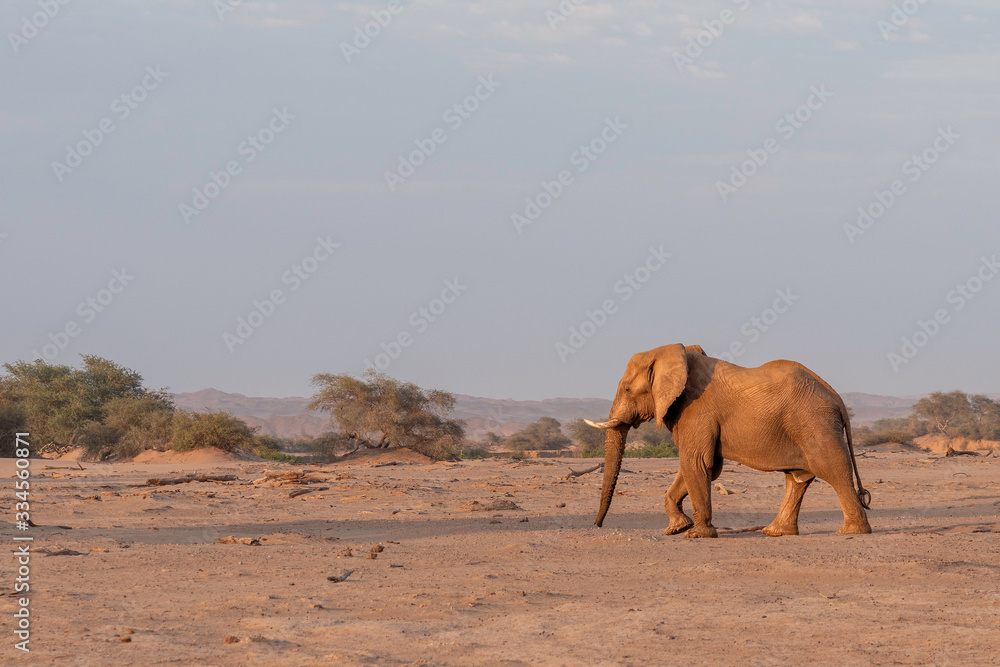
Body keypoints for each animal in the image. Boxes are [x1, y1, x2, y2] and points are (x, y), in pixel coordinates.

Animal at [585, 344, 871, 538]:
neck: (674, 354)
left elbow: (697, 463)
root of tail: (837, 398)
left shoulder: (697, 410)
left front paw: (696, 534)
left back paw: (852, 531)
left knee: (832, 470)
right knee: (798, 477)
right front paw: (677, 528)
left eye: (627, 389)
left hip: (815, 423)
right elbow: (702, 467)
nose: (597, 525)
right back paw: (775, 532)